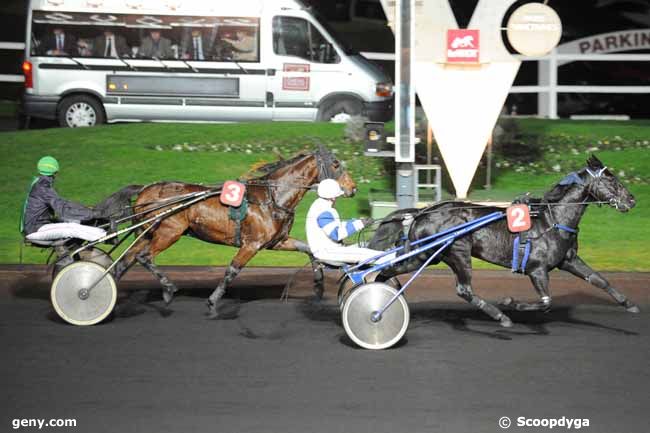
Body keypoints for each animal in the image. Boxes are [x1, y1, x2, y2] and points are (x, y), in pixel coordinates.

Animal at [115, 145, 354, 318]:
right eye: (335, 164)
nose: (353, 188)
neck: (273, 198)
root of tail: (146, 189)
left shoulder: (278, 241)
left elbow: (309, 250)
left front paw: (319, 287)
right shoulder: (251, 244)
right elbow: (232, 271)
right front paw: (212, 302)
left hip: (146, 233)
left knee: (124, 262)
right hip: (169, 232)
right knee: (144, 257)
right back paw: (168, 289)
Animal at [370, 156, 636, 328]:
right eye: (612, 181)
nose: (632, 200)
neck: (553, 219)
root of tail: (423, 211)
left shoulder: (568, 260)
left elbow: (599, 280)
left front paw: (629, 304)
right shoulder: (536, 269)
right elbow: (546, 302)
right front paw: (512, 303)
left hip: (425, 255)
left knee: (386, 270)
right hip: (454, 251)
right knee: (464, 289)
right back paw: (501, 317)